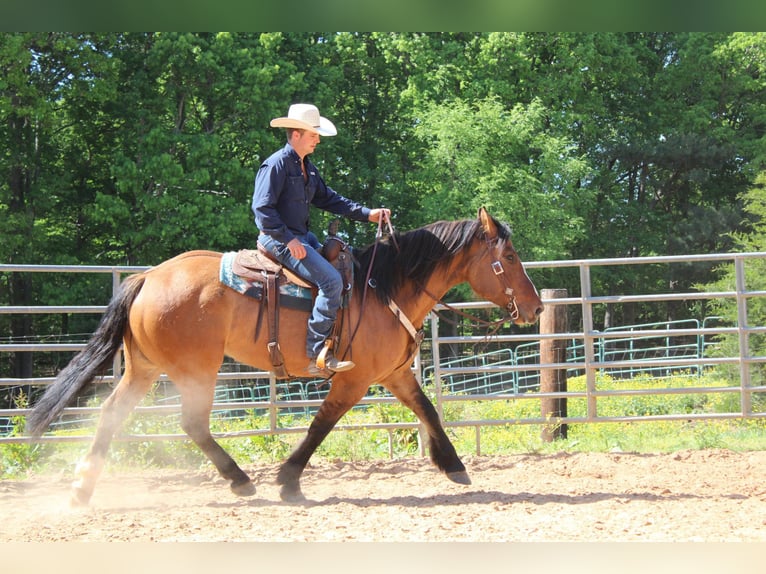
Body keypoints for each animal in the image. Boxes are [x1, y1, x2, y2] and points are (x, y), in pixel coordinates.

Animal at [27, 209, 544, 506]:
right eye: (510, 256)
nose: (536, 307)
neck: (384, 287)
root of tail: (149, 277)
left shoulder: (395, 374)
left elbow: (428, 410)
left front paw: (453, 465)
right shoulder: (353, 379)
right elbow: (321, 425)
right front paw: (289, 480)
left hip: (145, 368)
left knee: (112, 415)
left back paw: (82, 490)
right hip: (196, 371)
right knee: (191, 423)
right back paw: (240, 480)